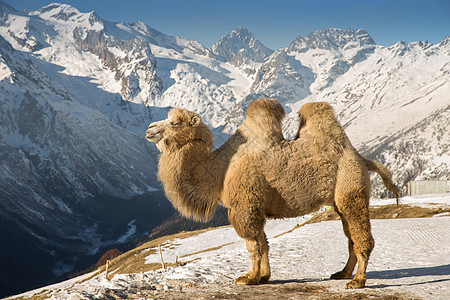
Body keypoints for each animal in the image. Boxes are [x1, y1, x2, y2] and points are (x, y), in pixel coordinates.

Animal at [146, 98, 400, 288]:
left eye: (175, 122)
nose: (150, 129)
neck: (220, 169)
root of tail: (361, 158)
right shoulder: (256, 205)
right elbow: (263, 241)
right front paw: (263, 277)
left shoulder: (245, 204)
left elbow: (253, 243)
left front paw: (248, 278)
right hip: (338, 200)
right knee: (349, 236)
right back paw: (343, 273)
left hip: (351, 188)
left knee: (361, 236)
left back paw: (357, 281)